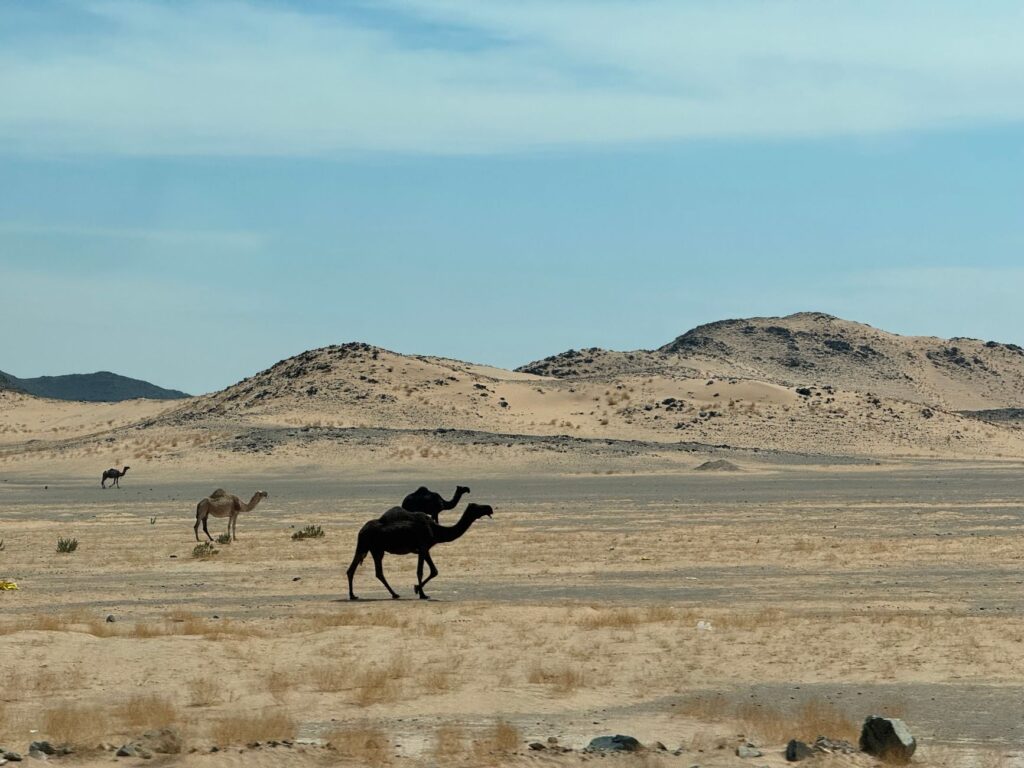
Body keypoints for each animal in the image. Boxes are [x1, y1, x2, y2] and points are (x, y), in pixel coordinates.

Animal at [346, 502, 493, 601]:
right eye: (477, 507)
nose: (489, 508)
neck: (436, 530)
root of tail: (361, 530)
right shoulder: (423, 547)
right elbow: (422, 571)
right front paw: (420, 592)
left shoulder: (424, 549)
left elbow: (433, 571)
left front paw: (418, 589)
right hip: (373, 548)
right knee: (376, 572)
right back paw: (394, 594)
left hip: (369, 547)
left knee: (354, 569)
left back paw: (354, 595)